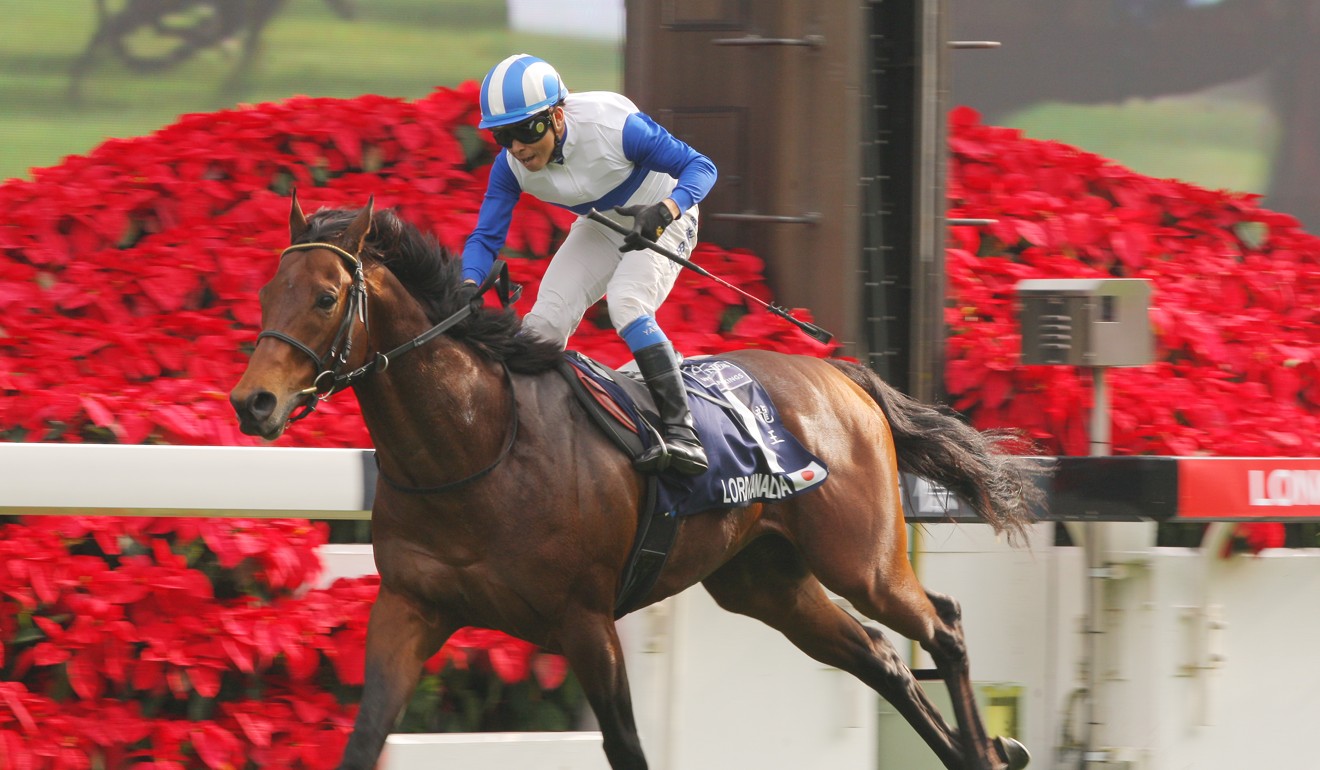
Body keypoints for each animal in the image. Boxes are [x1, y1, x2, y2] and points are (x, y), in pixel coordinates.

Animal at [232, 196, 1045, 770]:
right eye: (267, 289)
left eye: (327, 296)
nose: (253, 402)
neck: (474, 447)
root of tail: (842, 375)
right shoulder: (409, 609)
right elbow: (365, 738)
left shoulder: (586, 619)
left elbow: (625, 745)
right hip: (766, 582)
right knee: (882, 658)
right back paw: (978, 750)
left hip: (861, 561)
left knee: (943, 624)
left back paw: (985, 749)